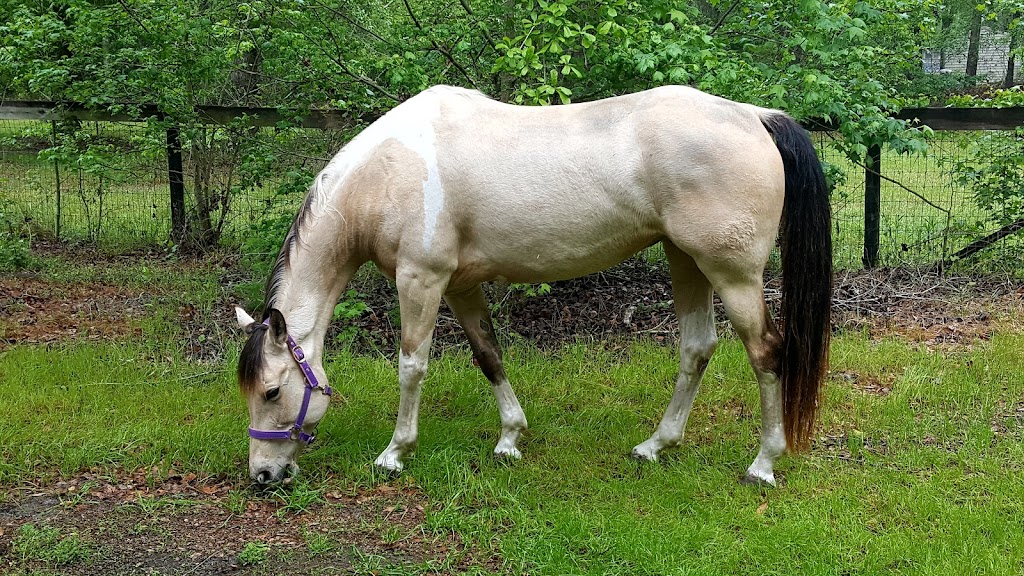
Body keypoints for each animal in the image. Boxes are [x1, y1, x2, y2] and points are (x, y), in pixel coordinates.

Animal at [234, 84, 831, 483]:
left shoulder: (420, 281)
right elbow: (488, 356)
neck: (388, 171)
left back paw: (763, 463)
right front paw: (509, 439)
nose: (262, 476)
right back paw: (656, 445)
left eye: (272, 390)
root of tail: (753, 115)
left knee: (766, 352)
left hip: (733, 275)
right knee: (698, 347)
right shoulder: (460, 286)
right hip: (685, 260)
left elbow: (411, 366)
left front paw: (395, 452)